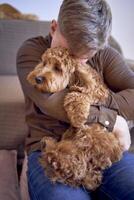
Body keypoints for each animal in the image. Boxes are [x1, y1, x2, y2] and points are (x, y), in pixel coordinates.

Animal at [27, 47, 123, 191]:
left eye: (58, 68)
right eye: (44, 63)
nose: (37, 79)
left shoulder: (98, 92)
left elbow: (79, 93)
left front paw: (78, 115)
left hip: (86, 140)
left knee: (73, 166)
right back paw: (49, 146)